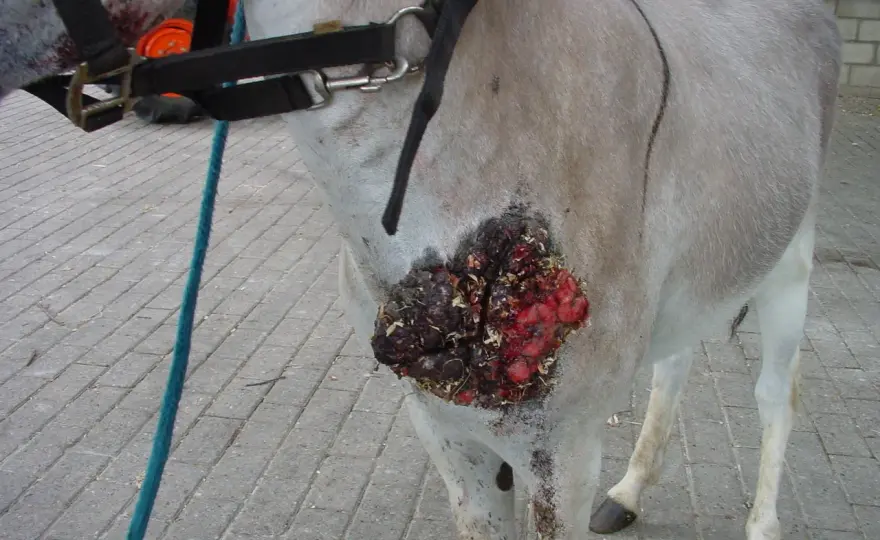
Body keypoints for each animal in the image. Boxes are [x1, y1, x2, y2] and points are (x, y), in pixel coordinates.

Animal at [0, 1, 842, 538]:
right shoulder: (445, 429)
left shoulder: (560, 449)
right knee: (677, 364)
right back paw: (630, 493)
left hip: (791, 267)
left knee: (778, 396)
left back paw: (761, 523)